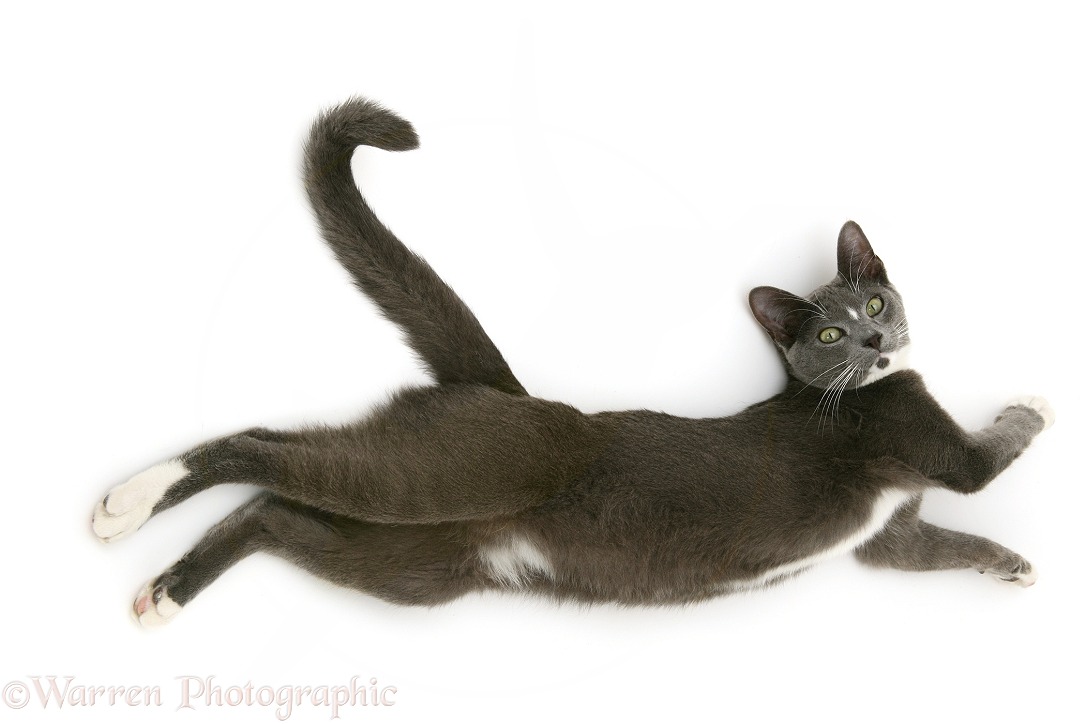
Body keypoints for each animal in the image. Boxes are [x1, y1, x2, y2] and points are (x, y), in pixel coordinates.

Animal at [91, 99, 1051, 625]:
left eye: (876, 304)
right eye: (829, 334)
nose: (876, 341)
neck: (857, 393)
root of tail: (503, 392)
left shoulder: (890, 539)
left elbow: (933, 547)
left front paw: (1012, 564)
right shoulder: (926, 444)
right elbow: (984, 459)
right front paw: (1032, 411)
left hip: (418, 568)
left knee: (273, 512)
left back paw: (163, 593)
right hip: (460, 471)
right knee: (261, 447)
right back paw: (123, 505)